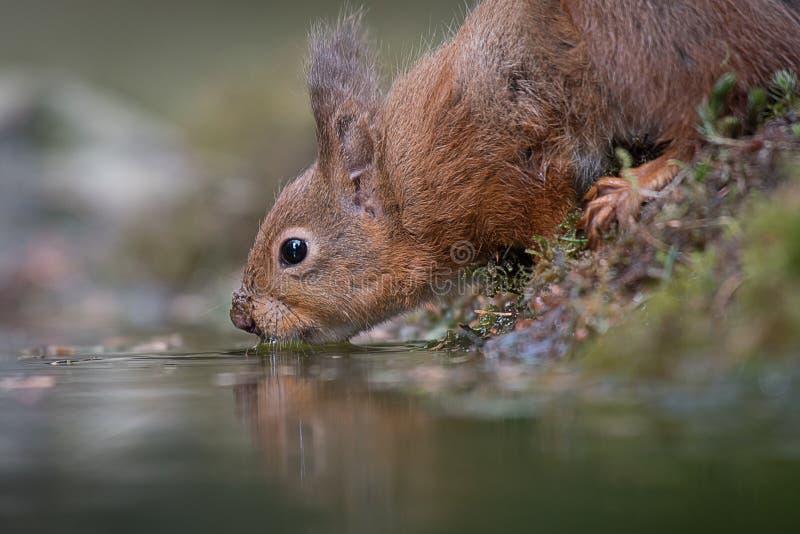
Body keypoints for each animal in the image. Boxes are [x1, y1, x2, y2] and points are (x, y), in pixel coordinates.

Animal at [230, 1, 800, 344]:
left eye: (293, 250)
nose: (241, 317)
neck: (404, 188)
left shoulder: (515, 160)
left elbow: (548, 216)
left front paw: (545, 282)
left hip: (646, 41)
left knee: (714, 113)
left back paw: (634, 185)